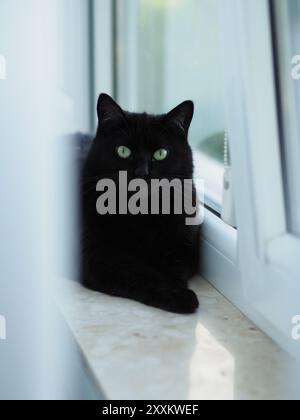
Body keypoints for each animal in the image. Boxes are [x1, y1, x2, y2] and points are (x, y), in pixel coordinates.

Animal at [81, 94, 200, 312]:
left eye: (160, 154)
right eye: (123, 151)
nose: (141, 172)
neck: (143, 214)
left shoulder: (185, 244)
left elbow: (174, 266)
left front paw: (178, 288)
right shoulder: (97, 254)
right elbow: (142, 273)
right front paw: (181, 296)